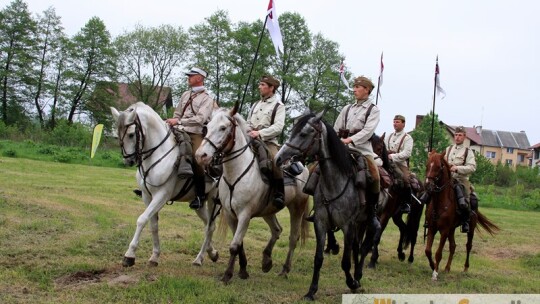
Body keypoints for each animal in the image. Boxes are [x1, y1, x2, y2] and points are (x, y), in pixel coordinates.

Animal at [110, 102, 220, 268]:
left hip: (214, 201)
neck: (159, 153)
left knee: (210, 227)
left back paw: (199, 258)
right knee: (209, 225)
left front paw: (129, 255)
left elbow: (142, 220)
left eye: (131, 134)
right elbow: (153, 225)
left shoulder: (161, 196)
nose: (128, 161)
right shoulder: (147, 196)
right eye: (117, 133)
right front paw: (154, 256)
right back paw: (211, 253)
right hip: (200, 205)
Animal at [196, 105, 310, 284]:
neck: (236, 173)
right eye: (207, 127)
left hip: (297, 208)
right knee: (277, 230)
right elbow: (239, 243)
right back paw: (266, 261)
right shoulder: (230, 214)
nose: (201, 156)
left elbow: (234, 246)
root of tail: (303, 168)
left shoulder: (245, 214)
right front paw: (243, 270)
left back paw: (285, 270)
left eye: (223, 128)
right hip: (268, 211)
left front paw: (227, 275)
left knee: (293, 238)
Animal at [276, 112, 374, 302]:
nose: (279, 158)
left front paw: (351, 283)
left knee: (363, 246)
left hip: (367, 221)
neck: (334, 182)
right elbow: (318, 258)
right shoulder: (320, 223)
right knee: (357, 247)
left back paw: (357, 277)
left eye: (303, 134)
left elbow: (345, 261)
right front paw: (311, 291)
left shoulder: (348, 225)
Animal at [424, 151, 500, 280]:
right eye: (427, 165)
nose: (428, 185)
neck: (439, 203)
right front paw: (433, 266)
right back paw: (447, 268)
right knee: (453, 246)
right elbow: (428, 250)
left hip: (470, 229)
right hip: (452, 229)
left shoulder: (444, 230)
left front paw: (435, 273)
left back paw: (465, 268)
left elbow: (438, 253)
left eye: (439, 167)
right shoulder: (432, 228)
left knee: (468, 246)